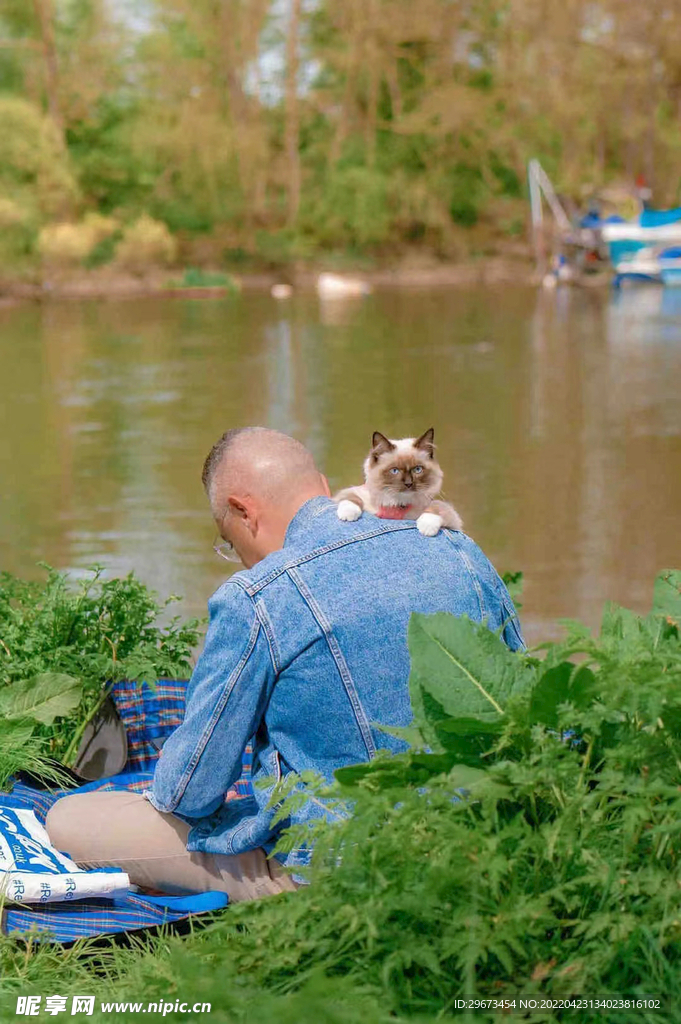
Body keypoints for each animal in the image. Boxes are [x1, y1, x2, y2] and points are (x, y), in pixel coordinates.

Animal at [333, 425, 462, 536]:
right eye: (394, 471)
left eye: (417, 469)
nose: (408, 483)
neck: (398, 505)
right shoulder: (354, 492)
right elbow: (351, 498)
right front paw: (348, 515)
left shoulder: (452, 518)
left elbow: (438, 507)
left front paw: (426, 527)